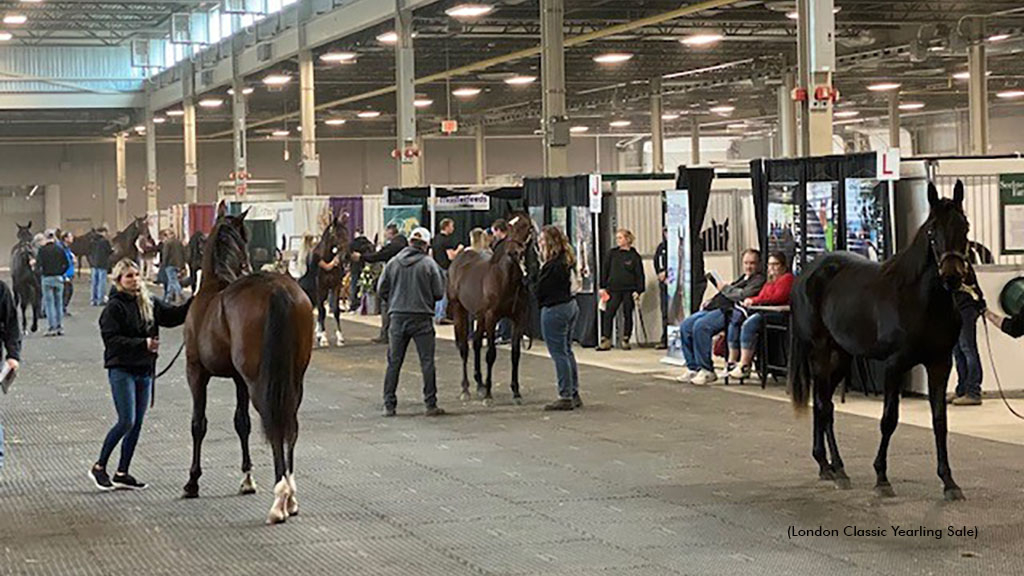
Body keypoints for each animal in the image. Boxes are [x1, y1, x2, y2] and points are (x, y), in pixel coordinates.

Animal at [182, 208, 313, 522]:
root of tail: (278, 289)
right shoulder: (238, 378)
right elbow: (242, 423)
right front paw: (247, 479)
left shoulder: (196, 373)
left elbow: (198, 424)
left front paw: (192, 482)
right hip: (294, 380)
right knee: (290, 423)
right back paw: (291, 496)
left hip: (259, 382)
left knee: (274, 422)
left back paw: (280, 500)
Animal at [448, 211, 536, 403]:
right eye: (509, 226)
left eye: (527, 226)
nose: (514, 252)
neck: (505, 278)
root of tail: (459, 259)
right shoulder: (491, 316)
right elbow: (491, 354)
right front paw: (488, 395)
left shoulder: (519, 318)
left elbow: (515, 354)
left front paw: (516, 392)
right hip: (460, 310)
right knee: (464, 348)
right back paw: (465, 389)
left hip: (479, 316)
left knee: (476, 343)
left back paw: (479, 384)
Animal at [786, 179, 970, 498]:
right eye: (932, 231)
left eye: (965, 227)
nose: (952, 277)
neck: (920, 299)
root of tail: (807, 273)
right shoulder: (894, 365)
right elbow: (889, 419)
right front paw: (882, 477)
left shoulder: (940, 364)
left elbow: (939, 421)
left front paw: (949, 482)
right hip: (821, 353)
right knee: (824, 406)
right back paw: (835, 469)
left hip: (842, 357)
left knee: (825, 403)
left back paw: (829, 465)